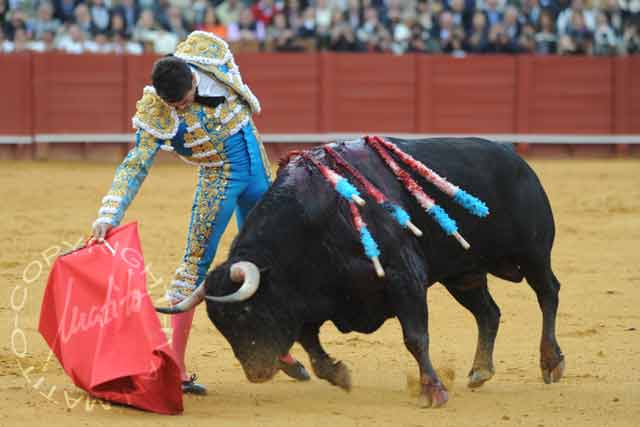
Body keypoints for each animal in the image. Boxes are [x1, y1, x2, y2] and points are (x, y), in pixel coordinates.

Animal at [160, 139, 564, 410]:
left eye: (245, 312)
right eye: (220, 324)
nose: (256, 373)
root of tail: (514, 156)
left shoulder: (405, 278)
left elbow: (415, 337)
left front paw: (433, 391)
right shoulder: (310, 298)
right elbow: (309, 341)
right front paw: (338, 374)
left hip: (533, 253)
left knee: (548, 293)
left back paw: (550, 361)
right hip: (463, 274)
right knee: (488, 313)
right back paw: (480, 371)